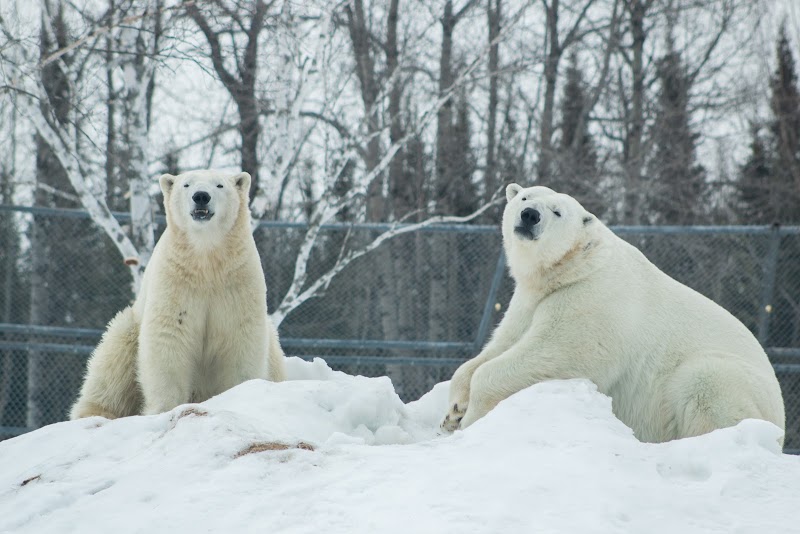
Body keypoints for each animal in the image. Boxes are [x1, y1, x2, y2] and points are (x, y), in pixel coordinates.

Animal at [70, 169, 286, 419]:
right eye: (186, 184)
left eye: (220, 185)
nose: (201, 196)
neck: (206, 261)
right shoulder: (175, 281)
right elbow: (169, 336)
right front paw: (164, 409)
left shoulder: (237, 282)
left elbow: (240, 338)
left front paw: (241, 396)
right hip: (129, 330)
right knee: (113, 363)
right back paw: (94, 413)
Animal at [441, 184, 785, 444]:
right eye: (525, 197)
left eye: (557, 211)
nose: (530, 215)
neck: (575, 266)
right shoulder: (530, 300)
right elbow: (501, 343)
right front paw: (453, 410)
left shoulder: (587, 300)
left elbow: (556, 352)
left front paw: (469, 419)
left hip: (730, 382)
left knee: (705, 384)